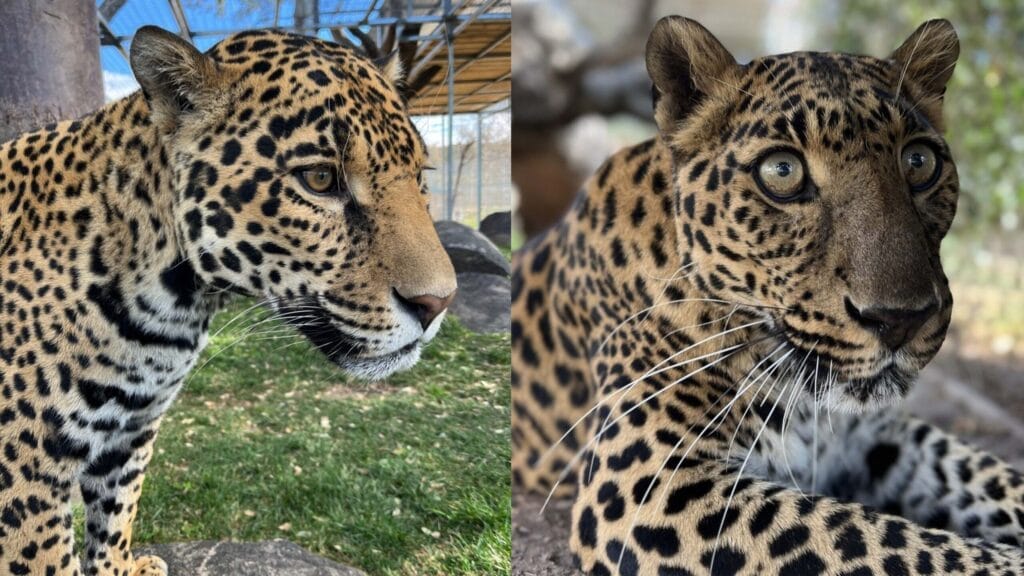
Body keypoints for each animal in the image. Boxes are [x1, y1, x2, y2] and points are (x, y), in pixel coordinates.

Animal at [0, 25, 456, 576]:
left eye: (420, 176)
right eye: (320, 179)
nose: (438, 303)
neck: (170, 312)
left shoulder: (132, 430)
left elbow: (116, 512)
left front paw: (119, 567)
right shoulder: (24, 476)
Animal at [511, 16, 1024, 576]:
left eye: (919, 161)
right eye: (783, 171)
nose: (901, 321)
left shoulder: (880, 436)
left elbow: (988, 476)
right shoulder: (648, 487)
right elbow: (870, 535)